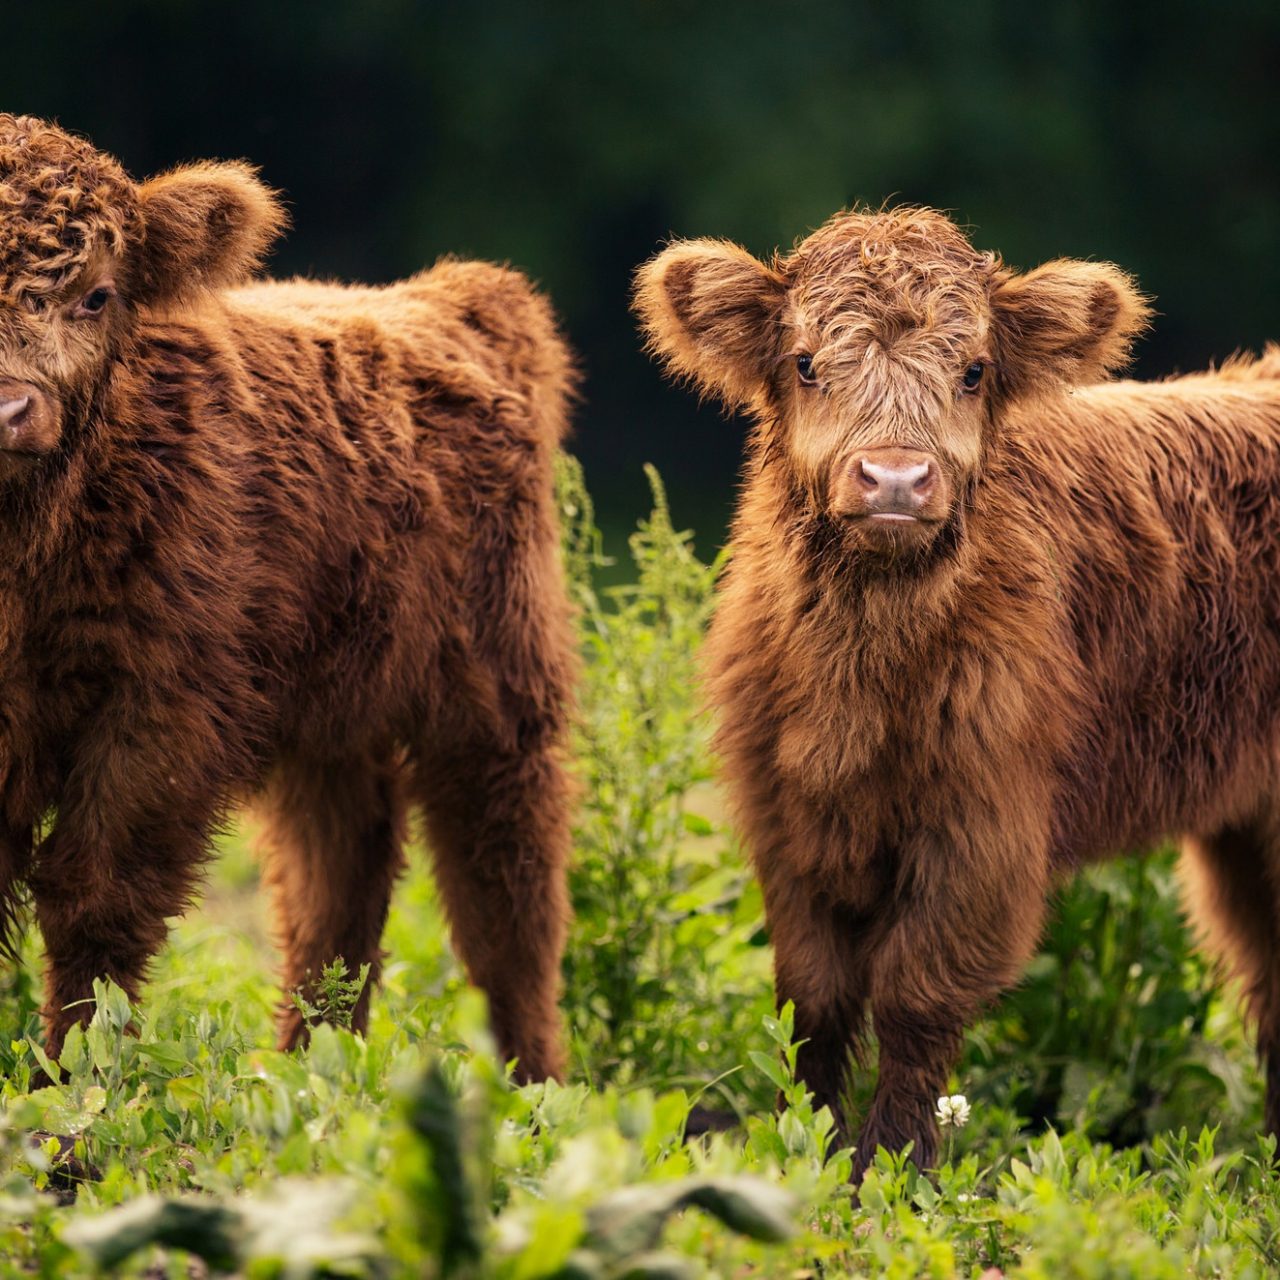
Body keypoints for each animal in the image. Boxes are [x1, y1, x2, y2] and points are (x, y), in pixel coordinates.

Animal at [0, 114, 576, 1083]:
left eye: (96, 295)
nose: (6, 408)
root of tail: (457, 298)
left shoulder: (164, 713)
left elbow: (94, 902)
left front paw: (73, 1099)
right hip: (330, 724)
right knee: (334, 896)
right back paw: (315, 1070)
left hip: (498, 701)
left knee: (505, 905)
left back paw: (530, 1087)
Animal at [634, 204, 1280, 1180]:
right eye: (805, 362)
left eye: (973, 369)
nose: (896, 480)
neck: (863, 676)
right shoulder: (786, 816)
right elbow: (813, 999)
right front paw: (805, 1148)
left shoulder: (984, 826)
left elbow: (916, 995)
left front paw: (892, 1167)